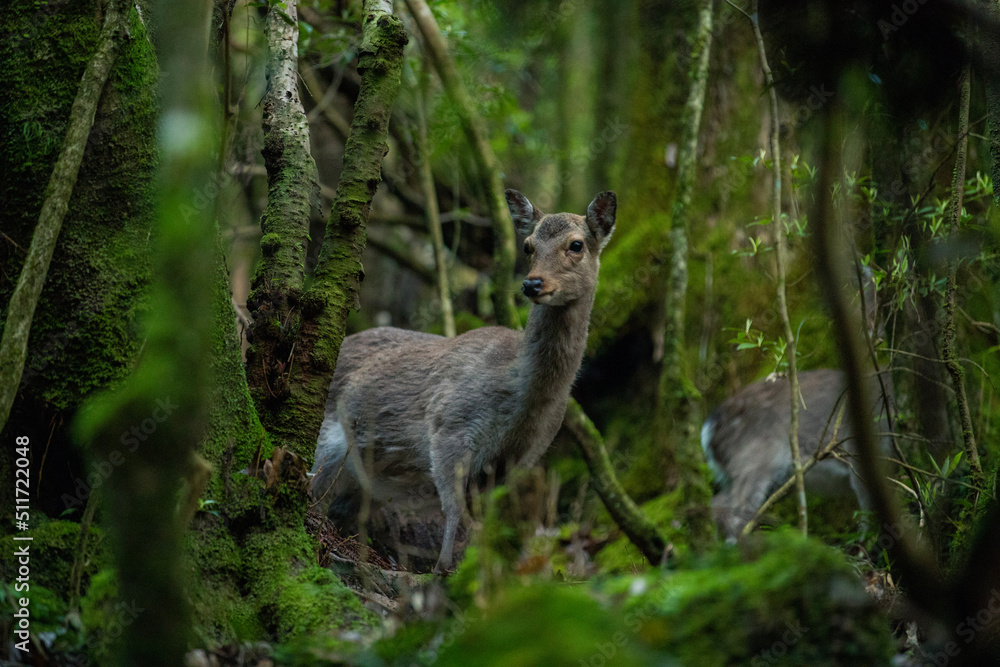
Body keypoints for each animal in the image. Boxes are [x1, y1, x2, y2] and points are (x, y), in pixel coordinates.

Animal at [310, 190, 617, 573]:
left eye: (576, 244)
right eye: (528, 246)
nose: (532, 283)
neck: (521, 401)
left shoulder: (522, 456)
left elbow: (484, 520)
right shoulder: (449, 427)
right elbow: (454, 510)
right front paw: (444, 568)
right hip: (325, 437)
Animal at [701, 368, 895, 540]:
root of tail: (709, 427)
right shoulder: (864, 456)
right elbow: (870, 516)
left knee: (716, 505)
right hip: (753, 461)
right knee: (732, 513)